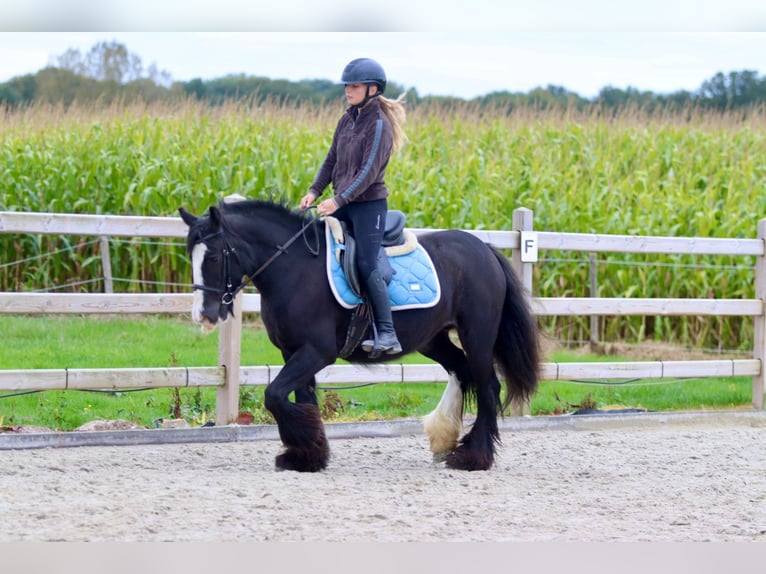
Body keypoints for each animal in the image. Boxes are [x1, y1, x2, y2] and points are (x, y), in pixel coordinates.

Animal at [179, 200, 540, 474]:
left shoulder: (316, 352)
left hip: (477, 334)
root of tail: (484, 249)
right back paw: (445, 439)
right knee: (463, 373)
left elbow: (274, 395)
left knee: (487, 386)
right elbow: (299, 398)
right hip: (433, 339)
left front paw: (304, 446)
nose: (203, 315)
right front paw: (307, 456)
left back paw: (472, 456)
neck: (294, 268)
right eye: (189, 256)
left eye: (213, 257)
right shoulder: (293, 352)